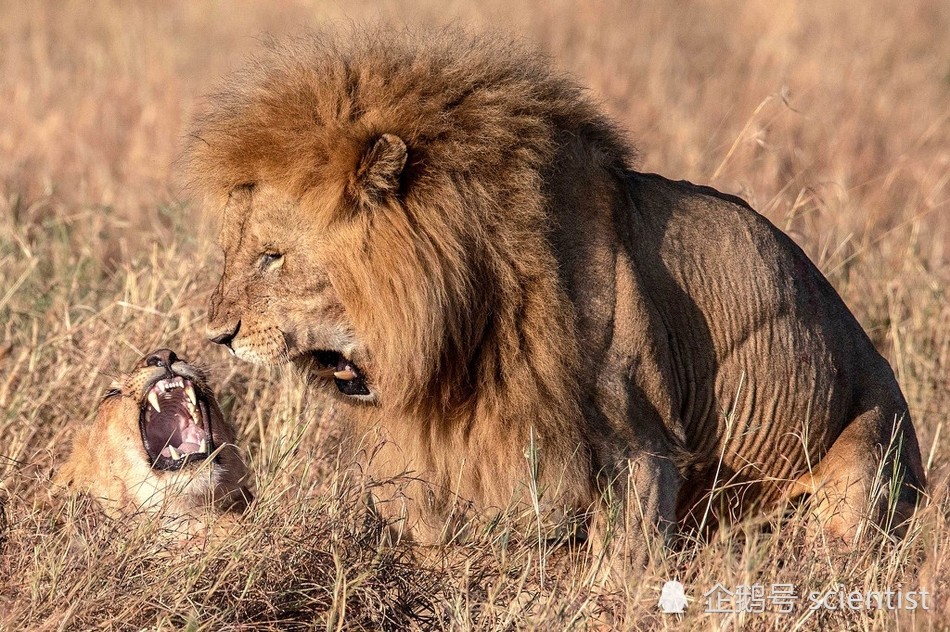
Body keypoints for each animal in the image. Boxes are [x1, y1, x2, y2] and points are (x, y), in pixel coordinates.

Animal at [186, 28, 924, 552]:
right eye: (234, 252)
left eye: (272, 258)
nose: (214, 335)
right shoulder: (434, 447)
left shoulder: (641, 442)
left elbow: (621, 566)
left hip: (866, 460)